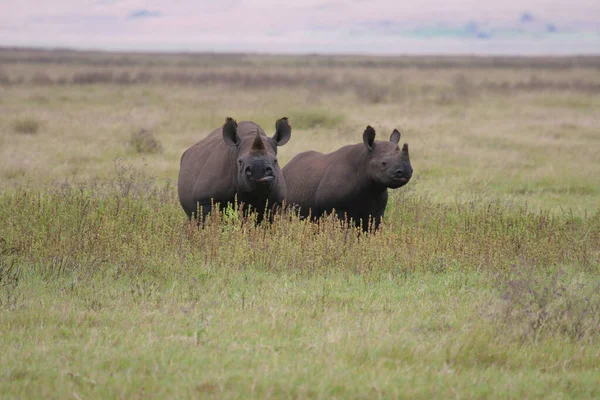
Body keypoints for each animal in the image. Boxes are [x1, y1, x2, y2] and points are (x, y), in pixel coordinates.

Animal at [282, 125, 412, 231]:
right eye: (383, 163)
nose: (406, 172)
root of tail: (287, 165)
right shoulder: (337, 210)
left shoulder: (376, 211)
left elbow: (370, 231)